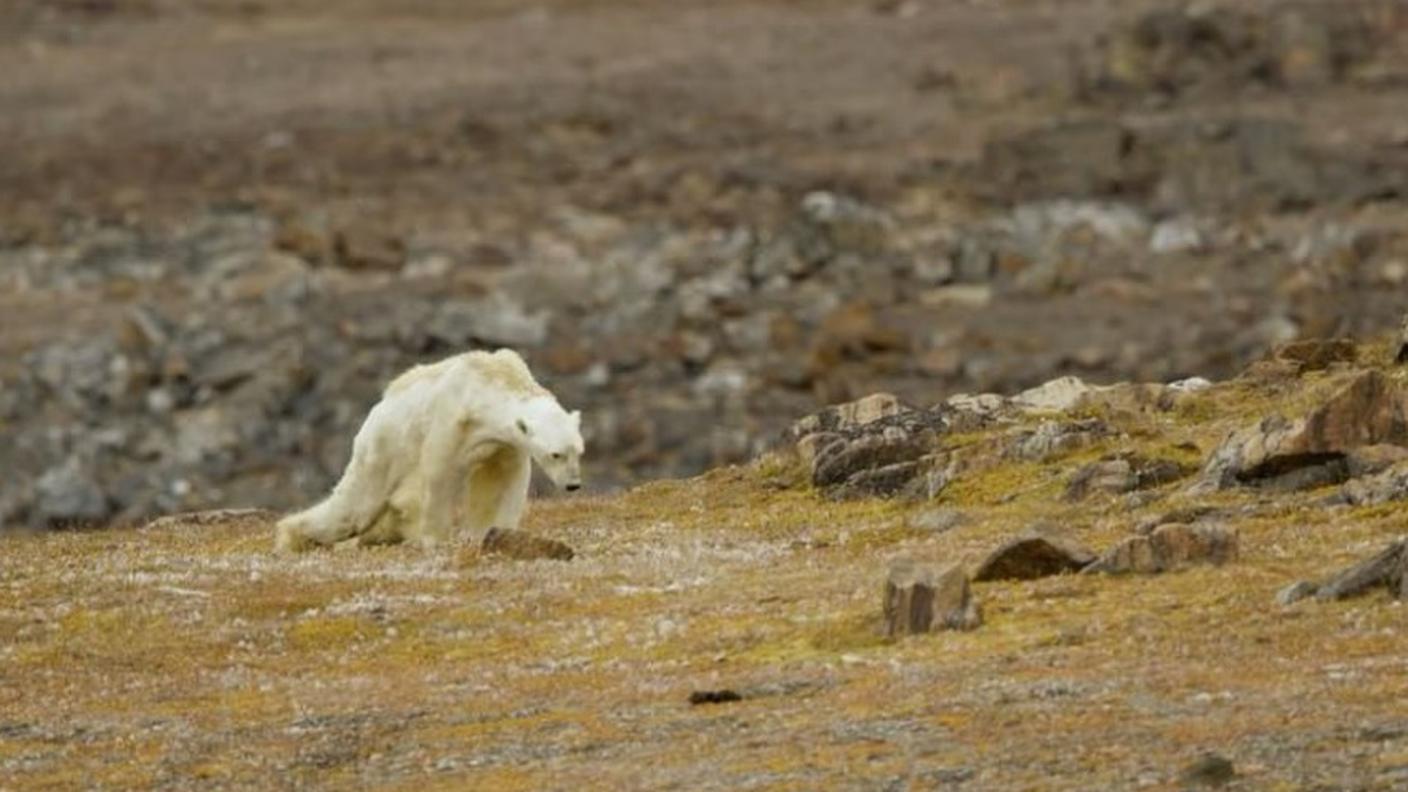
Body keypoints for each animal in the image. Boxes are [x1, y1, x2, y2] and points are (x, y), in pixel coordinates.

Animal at [274, 348, 582, 552]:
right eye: (556, 454)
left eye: (578, 451)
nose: (573, 485)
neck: (489, 382)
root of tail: (377, 409)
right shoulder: (452, 421)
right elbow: (439, 473)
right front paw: (434, 538)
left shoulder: (503, 444)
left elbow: (502, 481)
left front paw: (495, 532)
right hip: (383, 448)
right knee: (353, 509)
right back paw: (293, 535)